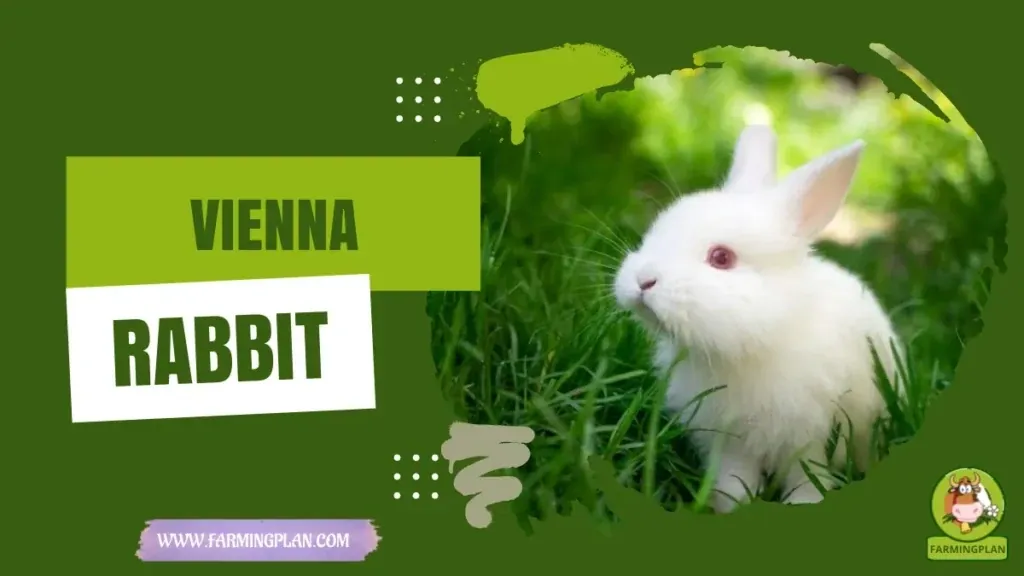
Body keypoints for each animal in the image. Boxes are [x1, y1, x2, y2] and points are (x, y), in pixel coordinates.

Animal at [613, 124, 904, 513]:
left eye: (721, 258)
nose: (643, 281)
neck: (752, 346)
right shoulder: (729, 442)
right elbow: (734, 481)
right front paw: (732, 508)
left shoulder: (808, 438)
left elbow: (807, 479)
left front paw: (805, 506)